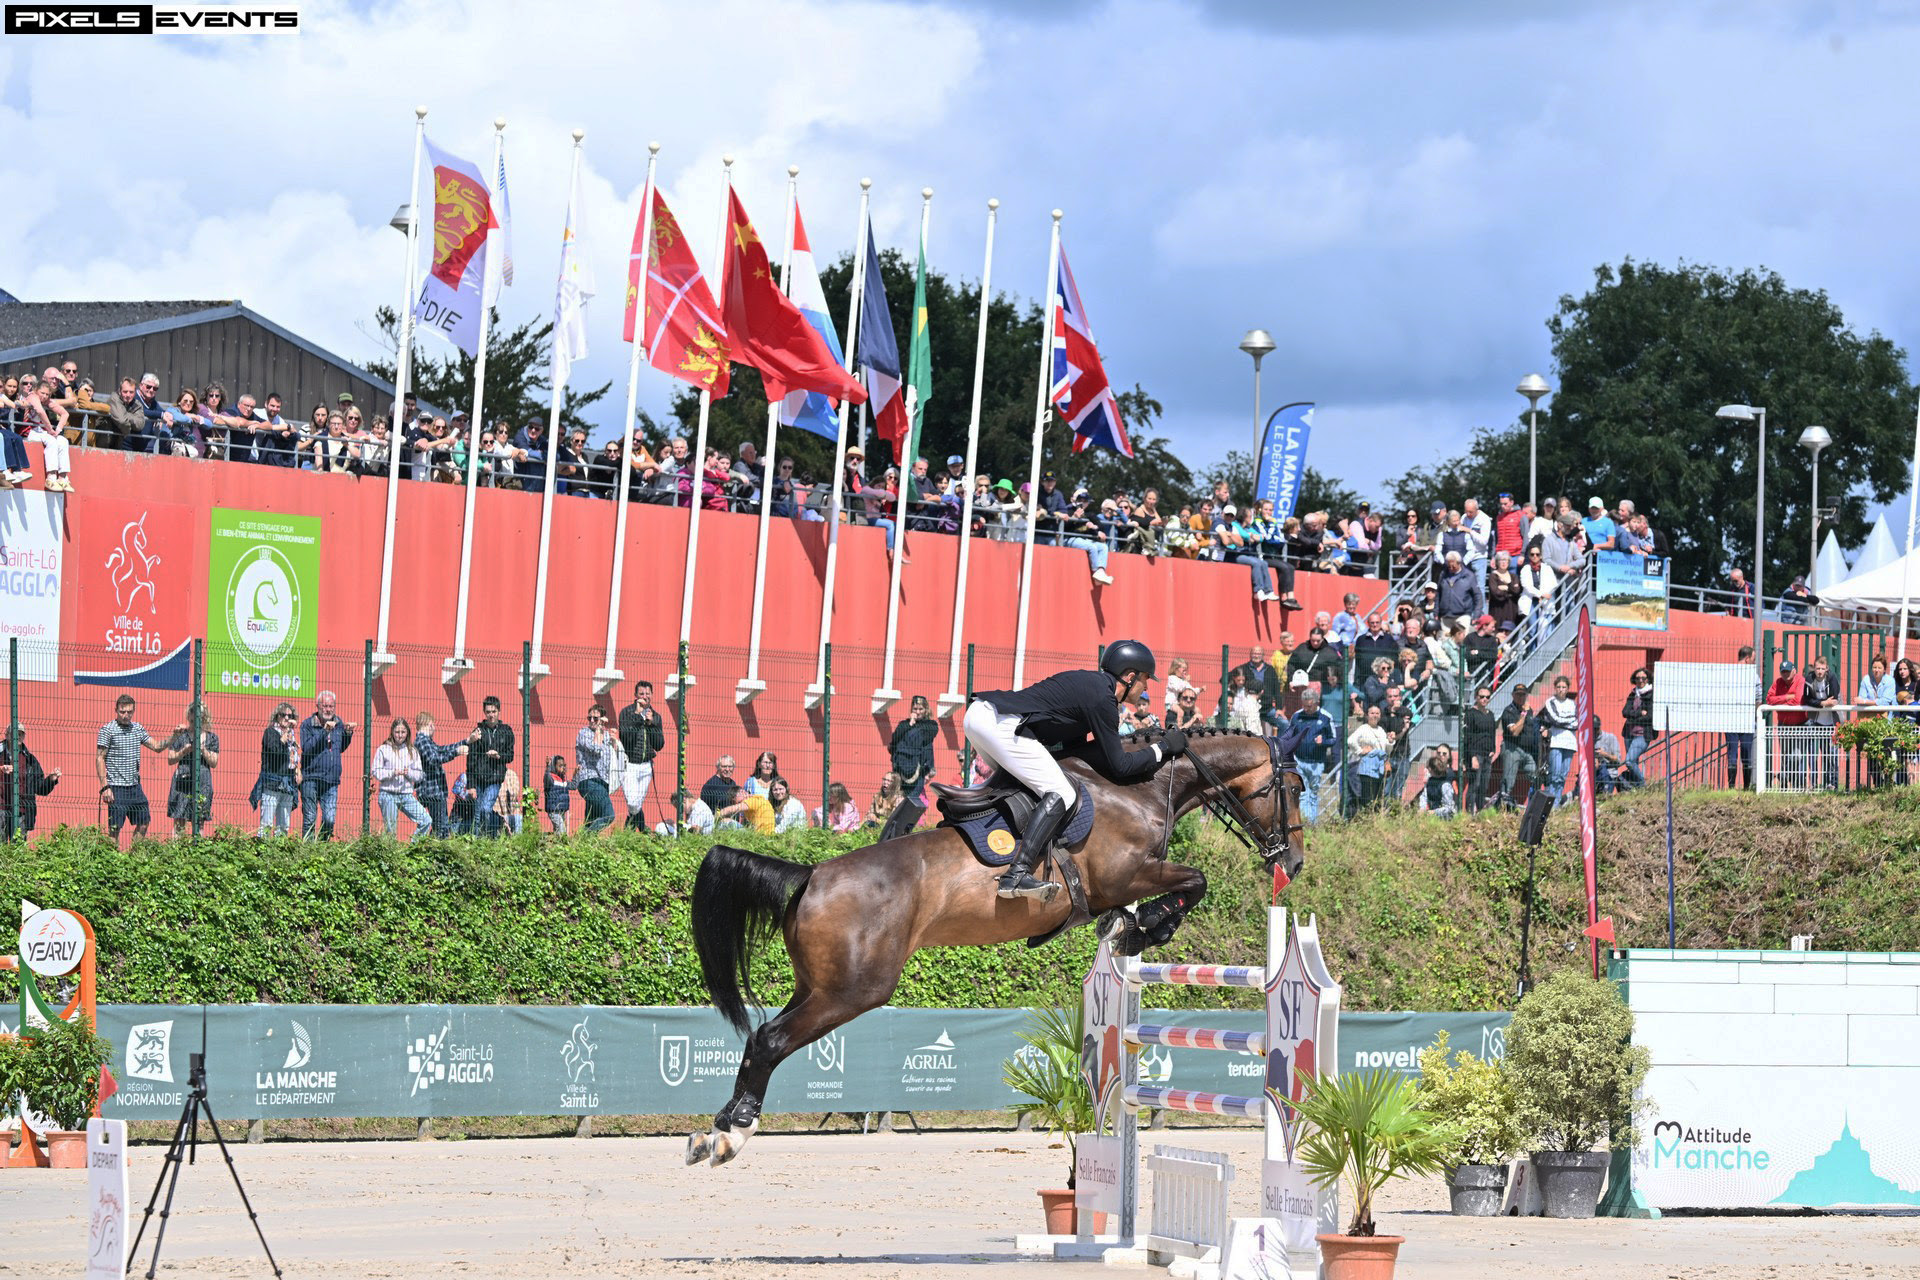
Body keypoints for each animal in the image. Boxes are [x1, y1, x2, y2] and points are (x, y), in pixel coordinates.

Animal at [683, 725, 1297, 1166]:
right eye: (1292, 790)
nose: (1291, 861)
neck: (1139, 790)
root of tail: (811, 874)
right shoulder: (1127, 877)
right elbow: (1195, 880)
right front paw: (1146, 927)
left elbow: (1178, 889)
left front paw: (1132, 927)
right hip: (853, 991)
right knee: (769, 1040)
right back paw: (732, 1135)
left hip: (820, 985)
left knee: (762, 1038)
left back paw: (716, 1129)